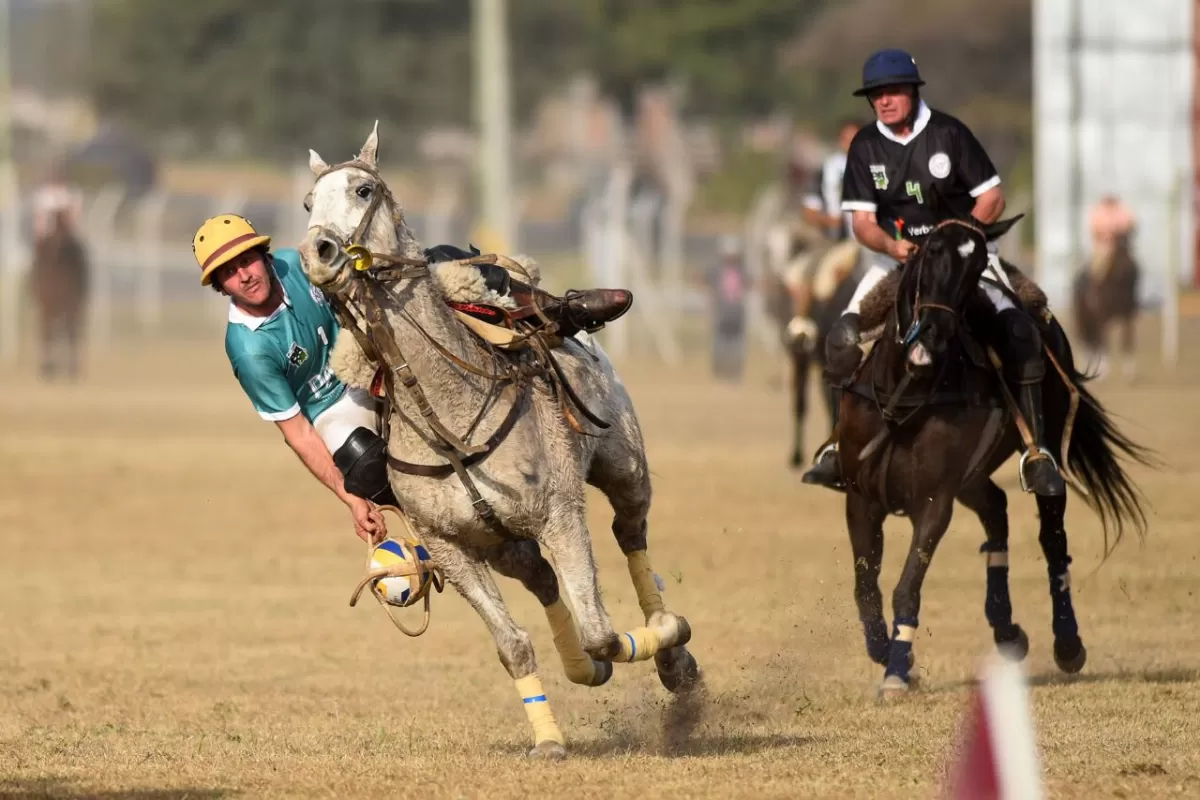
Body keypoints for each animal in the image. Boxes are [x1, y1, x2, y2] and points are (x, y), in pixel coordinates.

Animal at [29, 209, 88, 379]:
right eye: (55, 221)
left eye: (68, 220)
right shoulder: (45, 306)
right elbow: (47, 332)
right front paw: (47, 370)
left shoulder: (71, 304)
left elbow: (70, 332)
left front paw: (72, 371)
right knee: (51, 331)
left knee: (65, 330)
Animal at [294, 122, 700, 762]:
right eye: (310, 203)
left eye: (363, 190)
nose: (318, 254)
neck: (447, 418)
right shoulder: (452, 549)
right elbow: (513, 645)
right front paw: (550, 738)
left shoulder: (560, 515)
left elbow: (603, 632)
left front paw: (665, 640)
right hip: (503, 543)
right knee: (541, 577)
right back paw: (585, 666)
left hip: (624, 465)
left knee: (631, 535)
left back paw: (672, 651)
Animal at [1075, 231, 1137, 381]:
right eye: (1119, 248)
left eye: (1131, 246)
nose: (1131, 268)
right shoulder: (1102, 318)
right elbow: (1105, 343)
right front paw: (1104, 372)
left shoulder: (1128, 316)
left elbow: (1128, 341)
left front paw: (1130, 374)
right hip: (1083, 318)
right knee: (1087, 340)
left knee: (1092, 341)